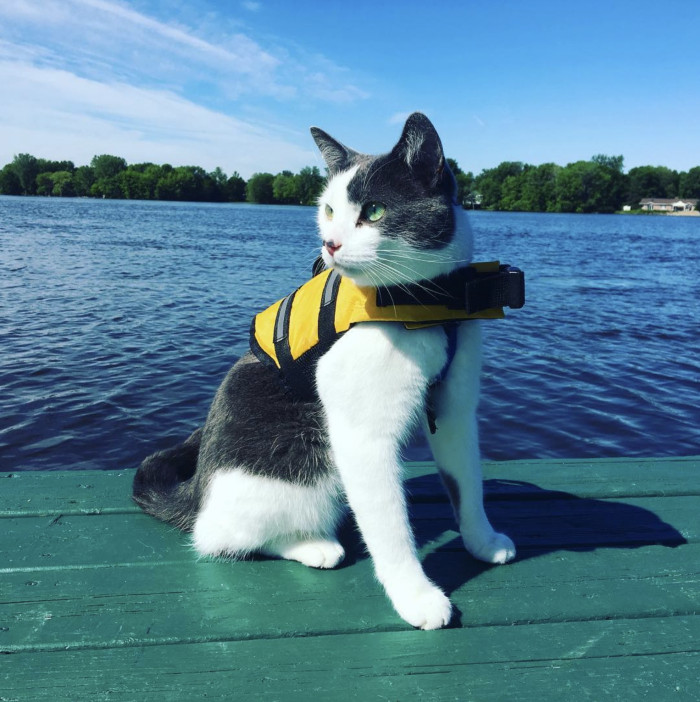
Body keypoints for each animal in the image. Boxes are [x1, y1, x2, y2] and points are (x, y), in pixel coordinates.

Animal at [133, 114, 516, 632]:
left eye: (374, 211)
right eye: (330, 210)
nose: (329, 243)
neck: (429, 304)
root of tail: (196, 491)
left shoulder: (455, 407)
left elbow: (465, 483)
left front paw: (482, 541)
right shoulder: (361, 434)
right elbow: (389, 522)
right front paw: (415, 595)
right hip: (304, 456)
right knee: (220, 536)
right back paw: (313, 545)